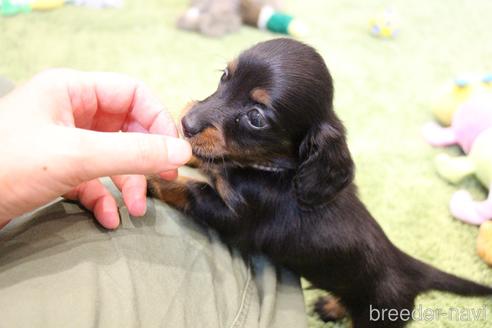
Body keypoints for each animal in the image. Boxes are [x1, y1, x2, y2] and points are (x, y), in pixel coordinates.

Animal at [147, 39, 492, 328]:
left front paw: (150, 177)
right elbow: (206, 161)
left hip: (380, 312)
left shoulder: (236, 216)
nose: (187, 123)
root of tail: (408, 266)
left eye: (256, 117)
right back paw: (333, 306)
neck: (272, 168)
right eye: (224, 76)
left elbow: (188, 188)